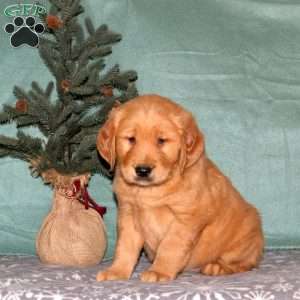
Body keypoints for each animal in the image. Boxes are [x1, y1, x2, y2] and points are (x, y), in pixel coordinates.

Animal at [96, 94, 262, 282]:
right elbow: (125, 247)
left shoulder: (186, 219)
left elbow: (170, 246)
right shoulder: (128, 214)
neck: (150, 190)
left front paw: (159, 271)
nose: (143, 170)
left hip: (245, 238)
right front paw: (116, 271)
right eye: (131, 139)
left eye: (161, 141)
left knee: (245, 263)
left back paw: (218, 267)